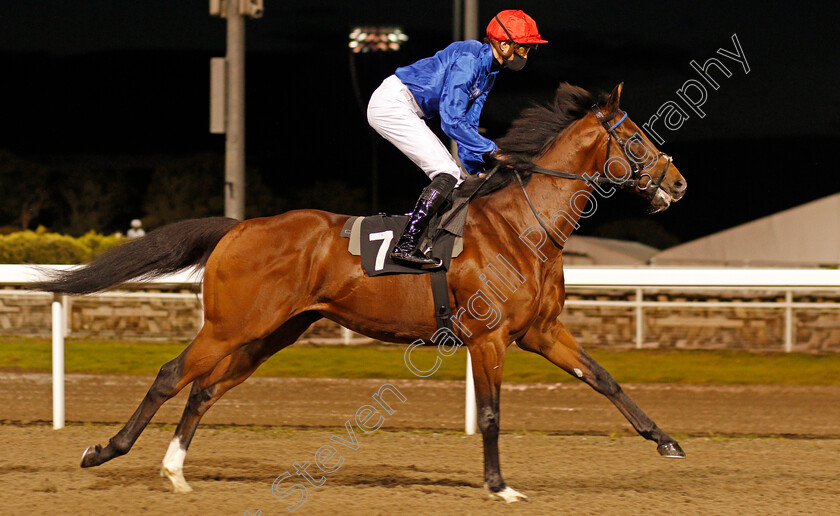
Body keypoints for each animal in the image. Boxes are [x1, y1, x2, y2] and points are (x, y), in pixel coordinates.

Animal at [34, 82, 688, 502]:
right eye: (635, 138)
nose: (678, 183)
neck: (524, 224)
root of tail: (240, 226)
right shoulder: (490, 337)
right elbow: (493, 413)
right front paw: (500, 486)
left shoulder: (541, 331)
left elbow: (604, 379)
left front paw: (667, 442)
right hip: (231, 325)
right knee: (173, 375)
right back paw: (105, 451)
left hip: (272, 332)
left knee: (205, 389)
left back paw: (175, 472)